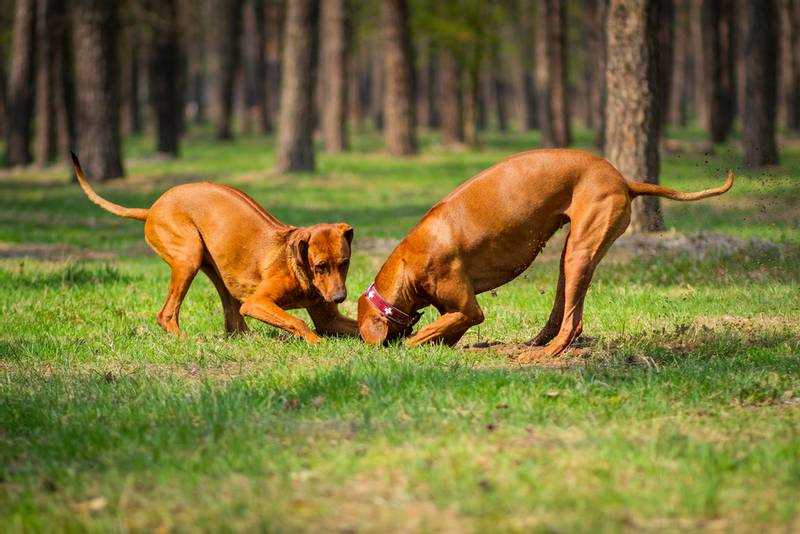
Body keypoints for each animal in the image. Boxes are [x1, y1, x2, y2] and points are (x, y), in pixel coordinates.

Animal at [70, 153, 358, 344]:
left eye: (344, 263)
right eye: (320, 266)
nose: (339, 298)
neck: (298, 268)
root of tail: (151, 208)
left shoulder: (329, 319)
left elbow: (346, 325)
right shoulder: (257, 303)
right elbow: (297, 321)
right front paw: (318, 343)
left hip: (217, 269)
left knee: (232, 319)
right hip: (188, 257)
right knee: (167, 314)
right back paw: (186, 340)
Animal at [360, 149, 736, 362]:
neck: (408, 263)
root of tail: (625, 180)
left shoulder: (468, 310)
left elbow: (421, 337)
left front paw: (406, 347)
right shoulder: (452, 313)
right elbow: (440, 332)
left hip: (580, 251)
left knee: (573, 322)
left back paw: (546, 354)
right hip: (572, 256)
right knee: (563, 309)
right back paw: (535, 343)